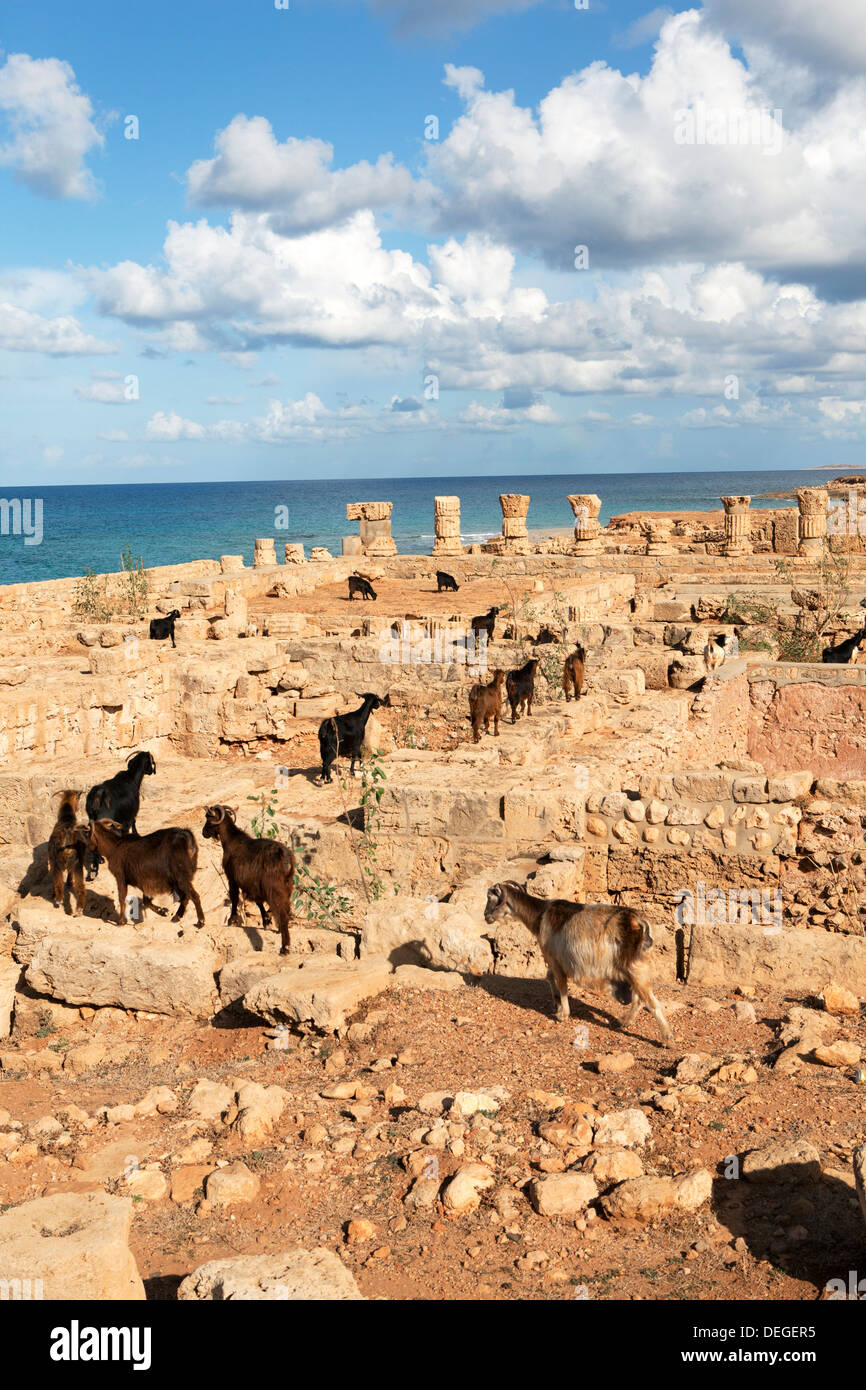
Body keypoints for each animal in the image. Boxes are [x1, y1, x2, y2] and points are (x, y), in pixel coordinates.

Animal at [47, 789, 88, 917]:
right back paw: (79, 909)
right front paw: (69, 883)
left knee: (58, 881)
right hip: (77, 863)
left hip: (55, 860)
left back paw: (58, 899)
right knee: (80, 887)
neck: (66, 818)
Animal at [85, 750, 156, 878]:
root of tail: (98, 794)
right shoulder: (132, 811)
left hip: (91, 817)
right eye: (150, 761)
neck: (132, 778)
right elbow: (133, 822)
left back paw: (98, 860)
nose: (151, 771)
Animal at [202, 806, 297, 956]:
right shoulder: (253, 884)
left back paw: (284, 948)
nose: (204, 832)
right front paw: (266, 921)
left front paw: (232, 920)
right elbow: (259, 903)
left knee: (282, 913)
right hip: (287, 886)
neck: (231, 841)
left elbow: (234, 897)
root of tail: (286, 858)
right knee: (285, 908)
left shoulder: (232, 878)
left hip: (275, 888)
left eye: (208, 818)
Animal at [483, 878, 675, 1045]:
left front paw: (563, 1014)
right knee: (641, 999)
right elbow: (549, 978)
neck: (540, 915)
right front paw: (557, 1005)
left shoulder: (555, 959)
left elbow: (561, 984)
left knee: (651, 1002)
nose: (486, 916)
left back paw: (667, 1039)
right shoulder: (554, 961)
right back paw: (625, 1021)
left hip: (635, 968)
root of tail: (641, 924)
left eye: (491, 897)